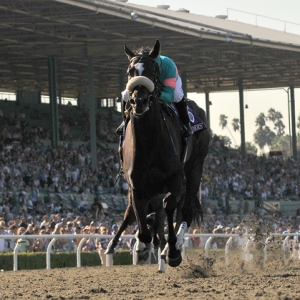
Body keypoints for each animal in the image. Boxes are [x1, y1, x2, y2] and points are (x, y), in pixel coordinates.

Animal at [107, 39, 209, 268]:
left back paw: (175, 244)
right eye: (130, 72)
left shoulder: (176, 179)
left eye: (153, 72)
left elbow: (169, 207)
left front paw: (172, 252)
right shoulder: (136, 185)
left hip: (195, 167)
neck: (149, 143)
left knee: (185, 208)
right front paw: (141, 245)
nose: (139, 101)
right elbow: (139, 214)